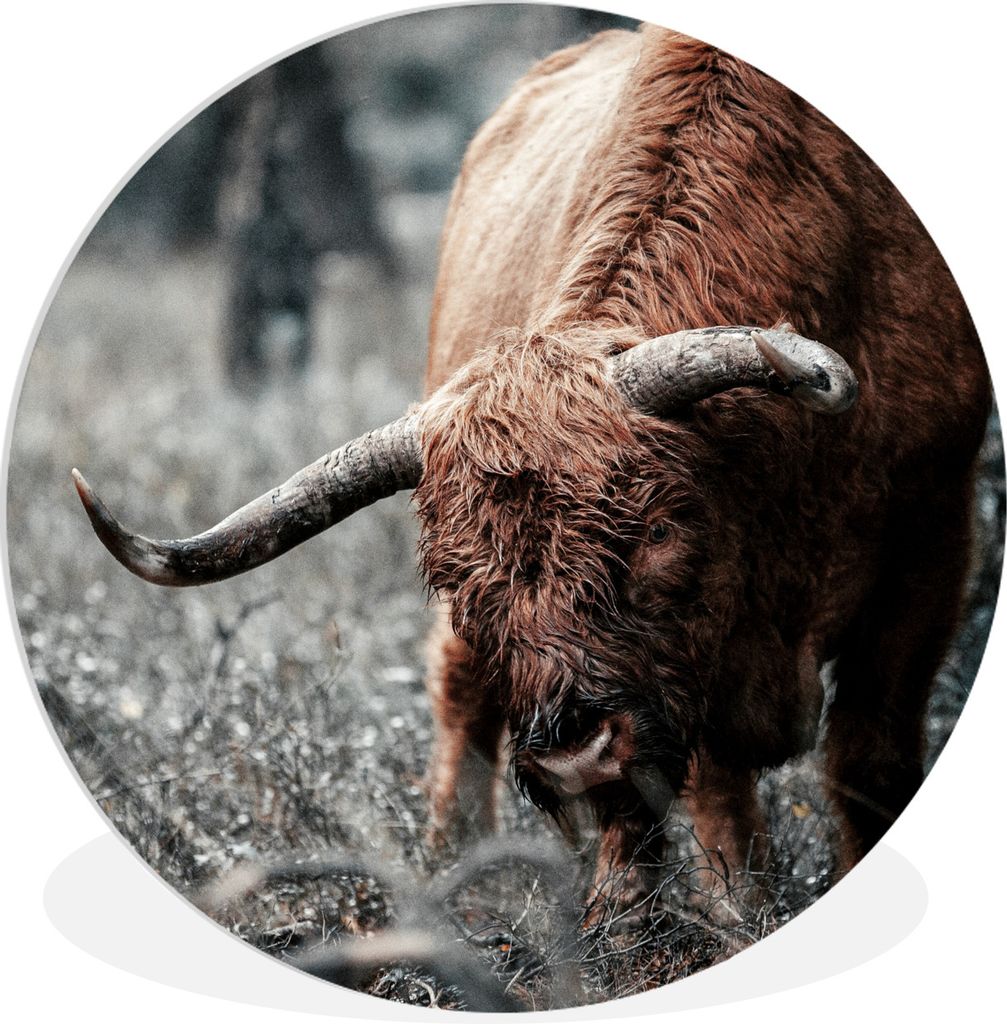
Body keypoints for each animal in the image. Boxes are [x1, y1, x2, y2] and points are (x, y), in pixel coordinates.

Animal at [73, 25, 992, 919]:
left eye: (659, 532)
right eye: (456, 581)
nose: (573, 762)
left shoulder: (930, 539)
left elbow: (867, 762)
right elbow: (708, 803)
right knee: (462, 699)